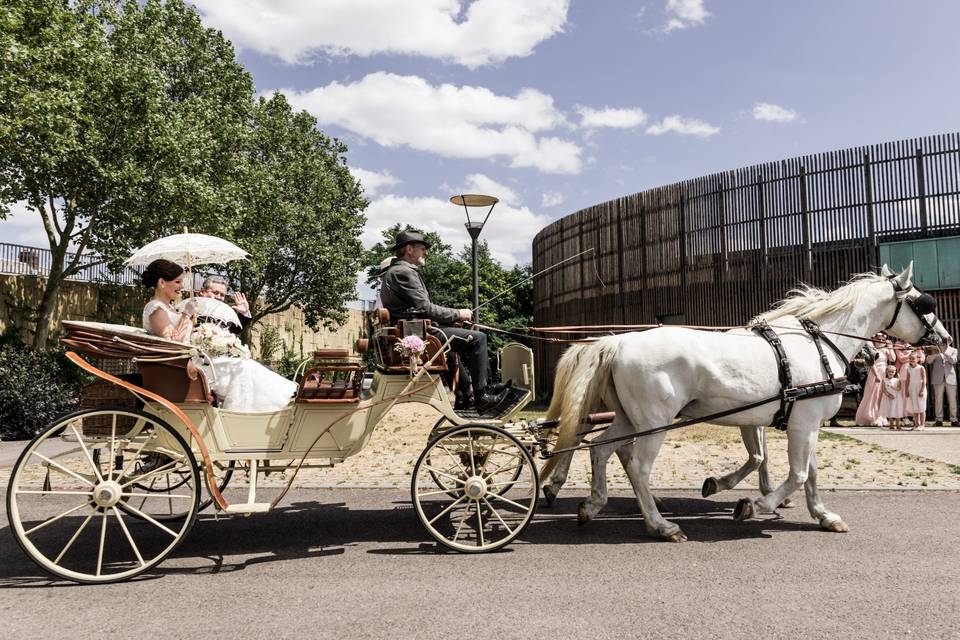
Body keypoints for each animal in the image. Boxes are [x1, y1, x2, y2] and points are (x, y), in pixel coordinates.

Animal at [540, 264, 952, 540]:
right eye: (923, 302)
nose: (946, 339)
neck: (818, 343)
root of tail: (618, 341)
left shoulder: (805, 422)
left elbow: (809, 473)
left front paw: (823, 515)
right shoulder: (800, 423)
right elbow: (796, 473)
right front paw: (755, 505)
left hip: (631, 418)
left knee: (599, 449)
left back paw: (592, 504)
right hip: (655, 421)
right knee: (637, 466)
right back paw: (660, 525)